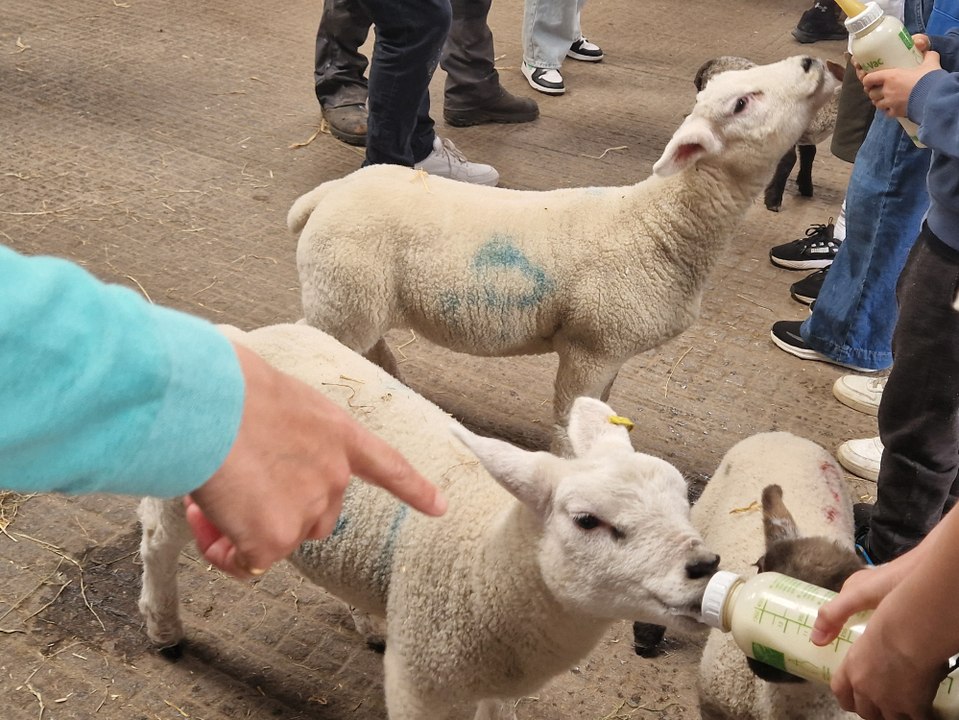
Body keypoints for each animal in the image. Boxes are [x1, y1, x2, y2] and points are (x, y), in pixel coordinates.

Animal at [137, 322, 720, 720]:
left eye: (684, 500)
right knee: (158, 540)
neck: (488, 562)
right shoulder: (421, 682)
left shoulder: (493, 688)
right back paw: (163, 629)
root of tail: (245, 335)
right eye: (586, 520)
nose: (706, 565)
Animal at [694, 55, 844, 212]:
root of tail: (712, 62)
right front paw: (773, 200)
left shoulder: (805, 136)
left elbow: (809, 155)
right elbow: (789, 159)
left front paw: (806, 187)